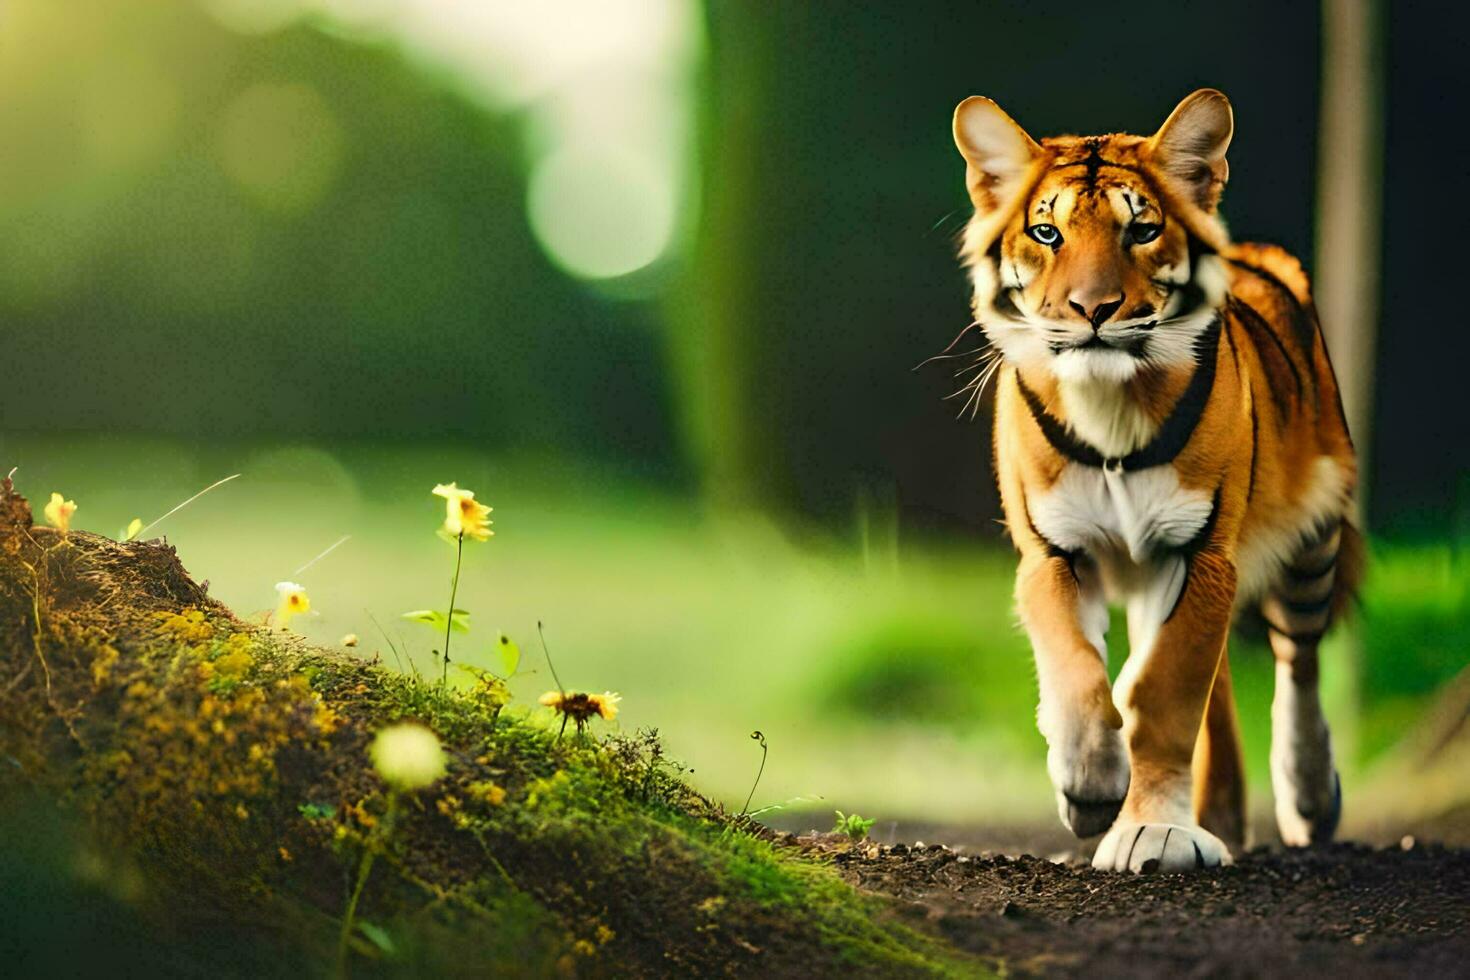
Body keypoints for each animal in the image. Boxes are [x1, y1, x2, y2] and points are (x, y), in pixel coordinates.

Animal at [952, 91, 1352, 875]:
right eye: (1045, 232)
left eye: (1141, 229)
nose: (1093, 310)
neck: (1109, 403)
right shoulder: (1052, 551)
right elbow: (1076, 666)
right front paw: (1090, 785)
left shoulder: (1201, 554)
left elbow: (1168, 695)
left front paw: (1153, 831)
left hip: (1312, 536)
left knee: (1299, 660)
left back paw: (1309, 797)